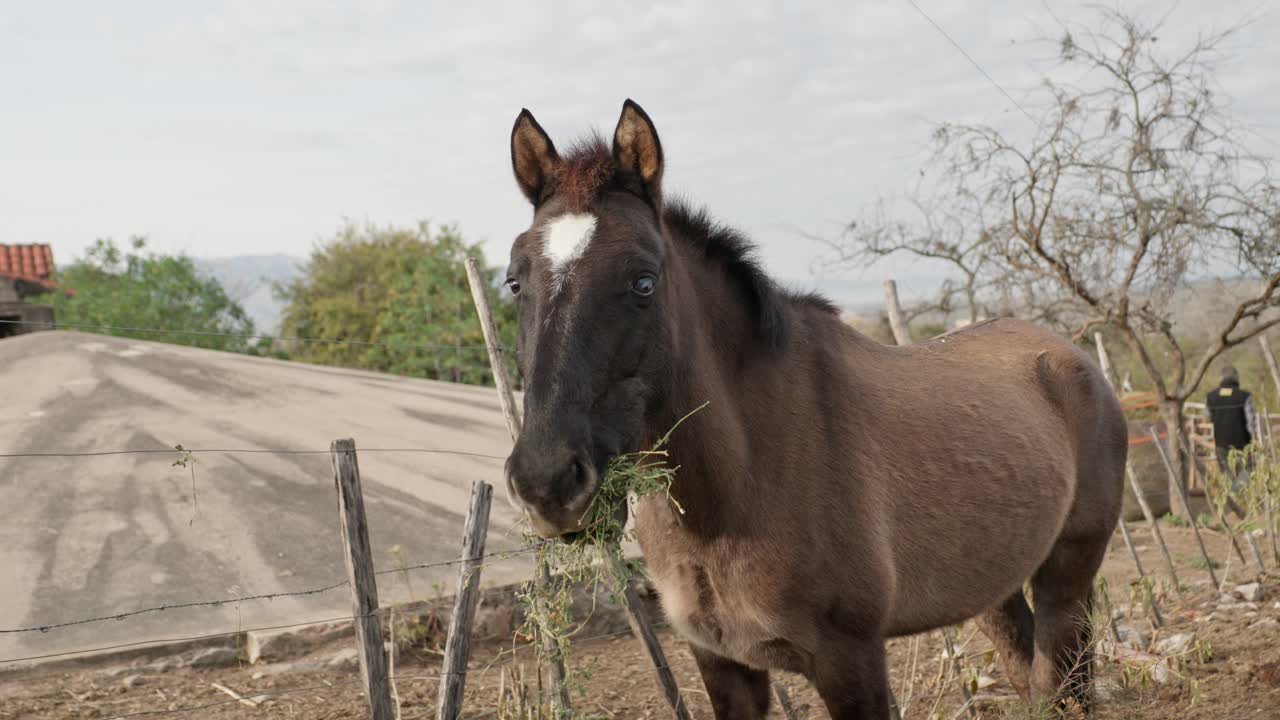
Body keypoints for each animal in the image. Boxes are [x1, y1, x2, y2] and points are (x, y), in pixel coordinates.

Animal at [500, 99, 1127, 719]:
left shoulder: (850, 660)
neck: (741, 481)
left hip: (1067, 576)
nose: (547, 483)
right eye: (514, 282)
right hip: (994, 588)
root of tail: (1071, 356)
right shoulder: (722, 663)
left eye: (643, 281)